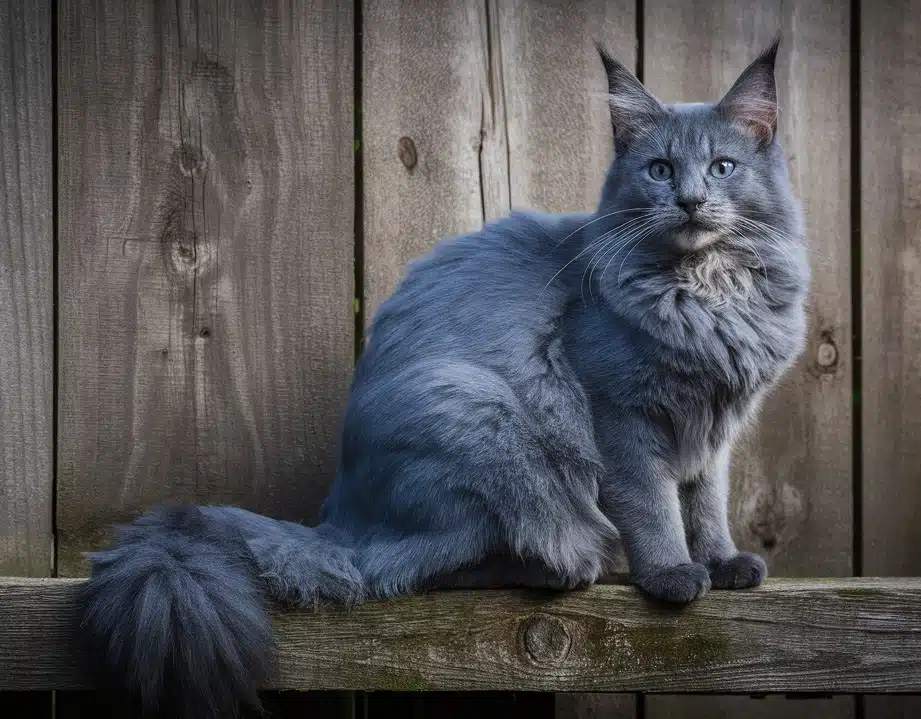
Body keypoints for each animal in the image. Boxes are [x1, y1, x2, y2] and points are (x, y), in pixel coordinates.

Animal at [82, 40, 808, 719]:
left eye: (722, 167)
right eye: (659, 170)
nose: (690, 200)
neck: (707, 294)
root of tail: (341, 521)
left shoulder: (712, 431)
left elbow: (705, 503)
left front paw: (722, 563)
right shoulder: (622, 419)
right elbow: (656, 506)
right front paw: (671, 574)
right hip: (477, 408)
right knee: (424, 569)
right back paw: (563, 568)